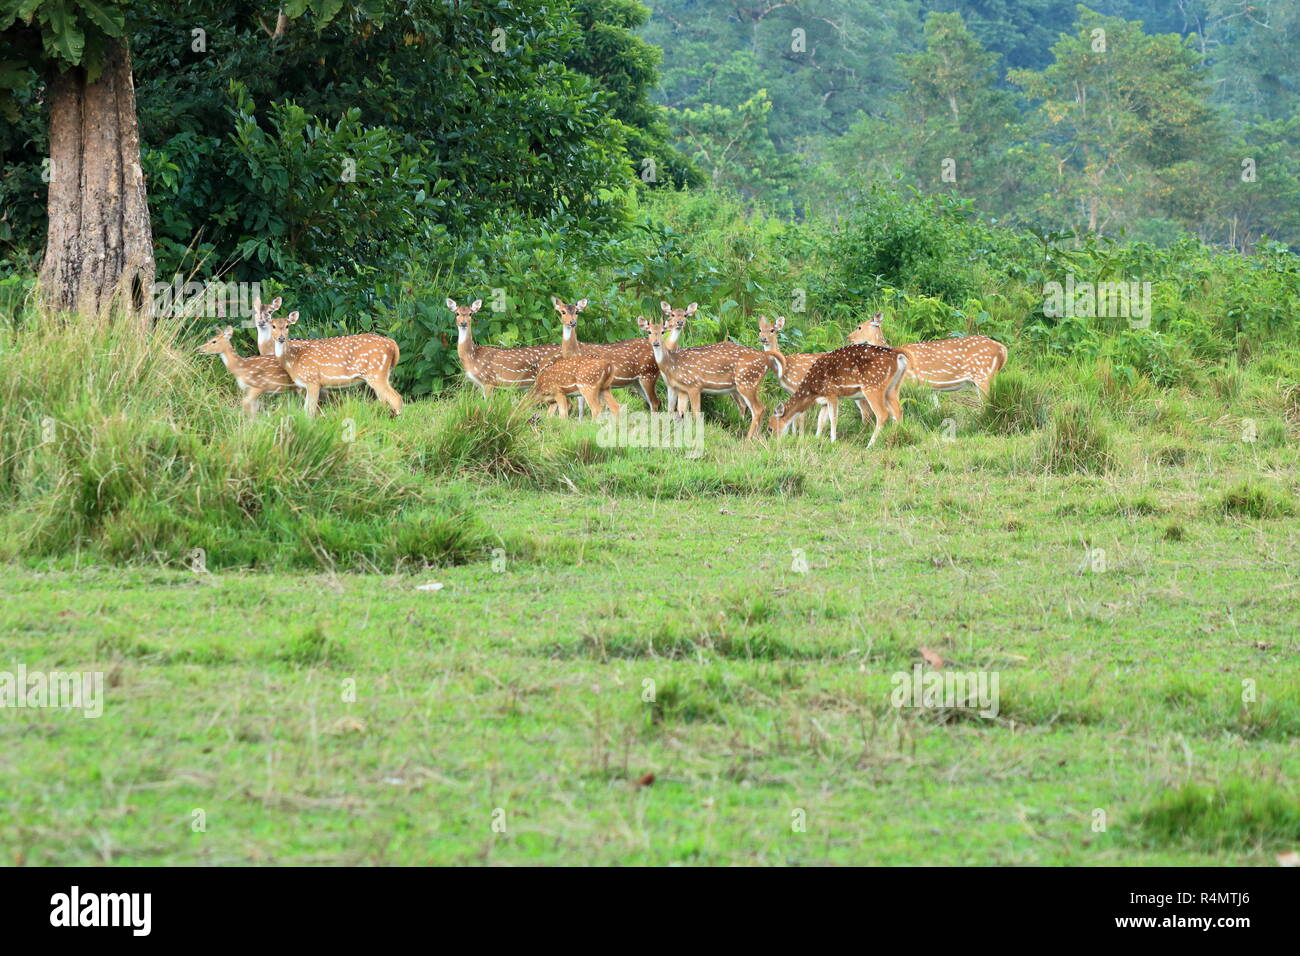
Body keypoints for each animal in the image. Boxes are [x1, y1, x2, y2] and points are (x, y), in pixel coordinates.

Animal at [266, 311, 403, 416]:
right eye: (273, 326)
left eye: (287, 326)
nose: (281, 338)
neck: (293, 360)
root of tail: (392, 344)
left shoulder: (313, 380)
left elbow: (310, 410)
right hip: (382, 374)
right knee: (384, 400)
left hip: (376, 374)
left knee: (396, 398)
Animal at [639, 303, 768, 439]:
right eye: (672, 314)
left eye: (685, 315)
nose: (679, 322)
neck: (672, 363)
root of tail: (765, 361)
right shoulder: (677, 387)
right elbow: (675, 411)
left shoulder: (694, 385)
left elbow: (695, 412)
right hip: (740, 386)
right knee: (749, 407)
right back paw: (755, 436)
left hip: (747, 382)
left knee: (758, 409)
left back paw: (748, 438)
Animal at [767, 343, 908, 445]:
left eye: (770, 428)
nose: (774, 443)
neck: (813, 390)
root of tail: (898, 356)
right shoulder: (824, 401)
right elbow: (821, 420)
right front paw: (816, 438)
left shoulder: (832, 393)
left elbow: (833, 418)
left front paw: (833, 441)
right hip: (893, 387)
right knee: (898, 411)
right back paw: (895, 436)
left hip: (873, 386)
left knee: (883, 414)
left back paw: (870, 444)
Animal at [847, 311, 1008, 396]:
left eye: (859, 327)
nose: (848, 338)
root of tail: (1003, 350)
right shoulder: (929, 388)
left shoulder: (910, 382)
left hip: (983, 375)